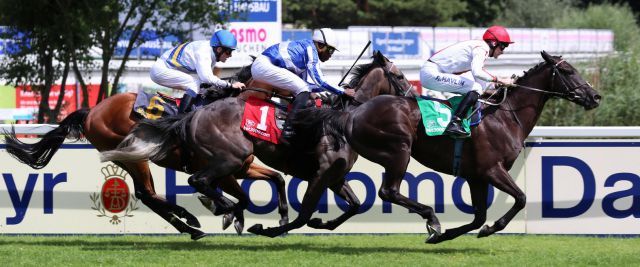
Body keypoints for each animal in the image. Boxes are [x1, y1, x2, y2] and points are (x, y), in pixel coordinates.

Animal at [3, 70, 288, 240]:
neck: (231, 113)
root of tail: (92, 110)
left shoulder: (241, 168)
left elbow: (273, 179)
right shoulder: (224, 172)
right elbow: (239, 197)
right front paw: (227, 214)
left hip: (125, 156)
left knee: (144, 194)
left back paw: (189, 225)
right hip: (133, 155)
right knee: (147, 193)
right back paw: (189, 219)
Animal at [99, 50, 420, 239]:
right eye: (400, 75)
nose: (412, 99)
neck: (341, 120)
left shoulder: (335, 176)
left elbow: (354, 206)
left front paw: (321, 224)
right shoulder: (321, 173)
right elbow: (304, 211)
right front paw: (264, 226)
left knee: (166, 190)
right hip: (226, 157)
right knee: (192, 182)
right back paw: (210, 214)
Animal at [288, 51, 600, 244]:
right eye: (568, 70)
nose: (595, 96)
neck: (505, 116)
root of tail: (353, 112)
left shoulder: (476, 176)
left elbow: (478, 216)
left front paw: (451, 235)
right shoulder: (493, 170)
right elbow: (521, 199)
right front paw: (488, 229)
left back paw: (319, 222)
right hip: (399, 151)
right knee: (388, 191)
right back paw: (431, 219)